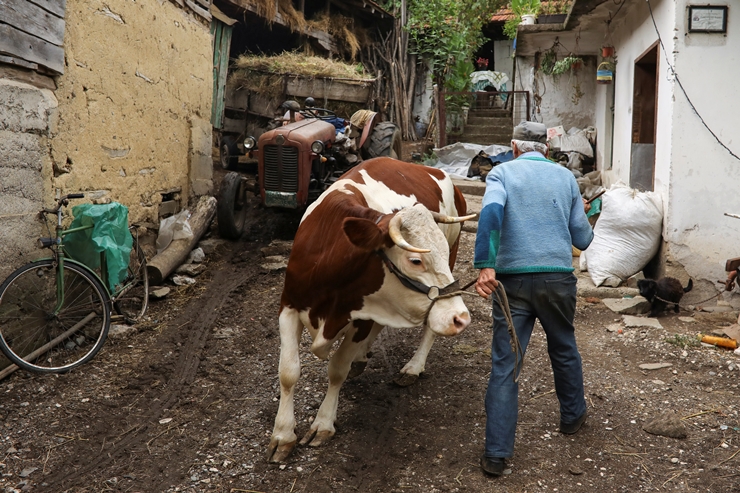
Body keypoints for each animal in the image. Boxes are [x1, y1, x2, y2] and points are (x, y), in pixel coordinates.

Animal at [266, 157, 474, 462]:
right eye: (415, 260)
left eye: (440, 253)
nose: (461, 318)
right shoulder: (289, 305)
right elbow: (288, 371)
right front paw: (282, 435)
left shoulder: (362, 316)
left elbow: (337, 369)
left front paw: (323, 424)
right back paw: (363, 356)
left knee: (428, 328)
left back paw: (413, 367)